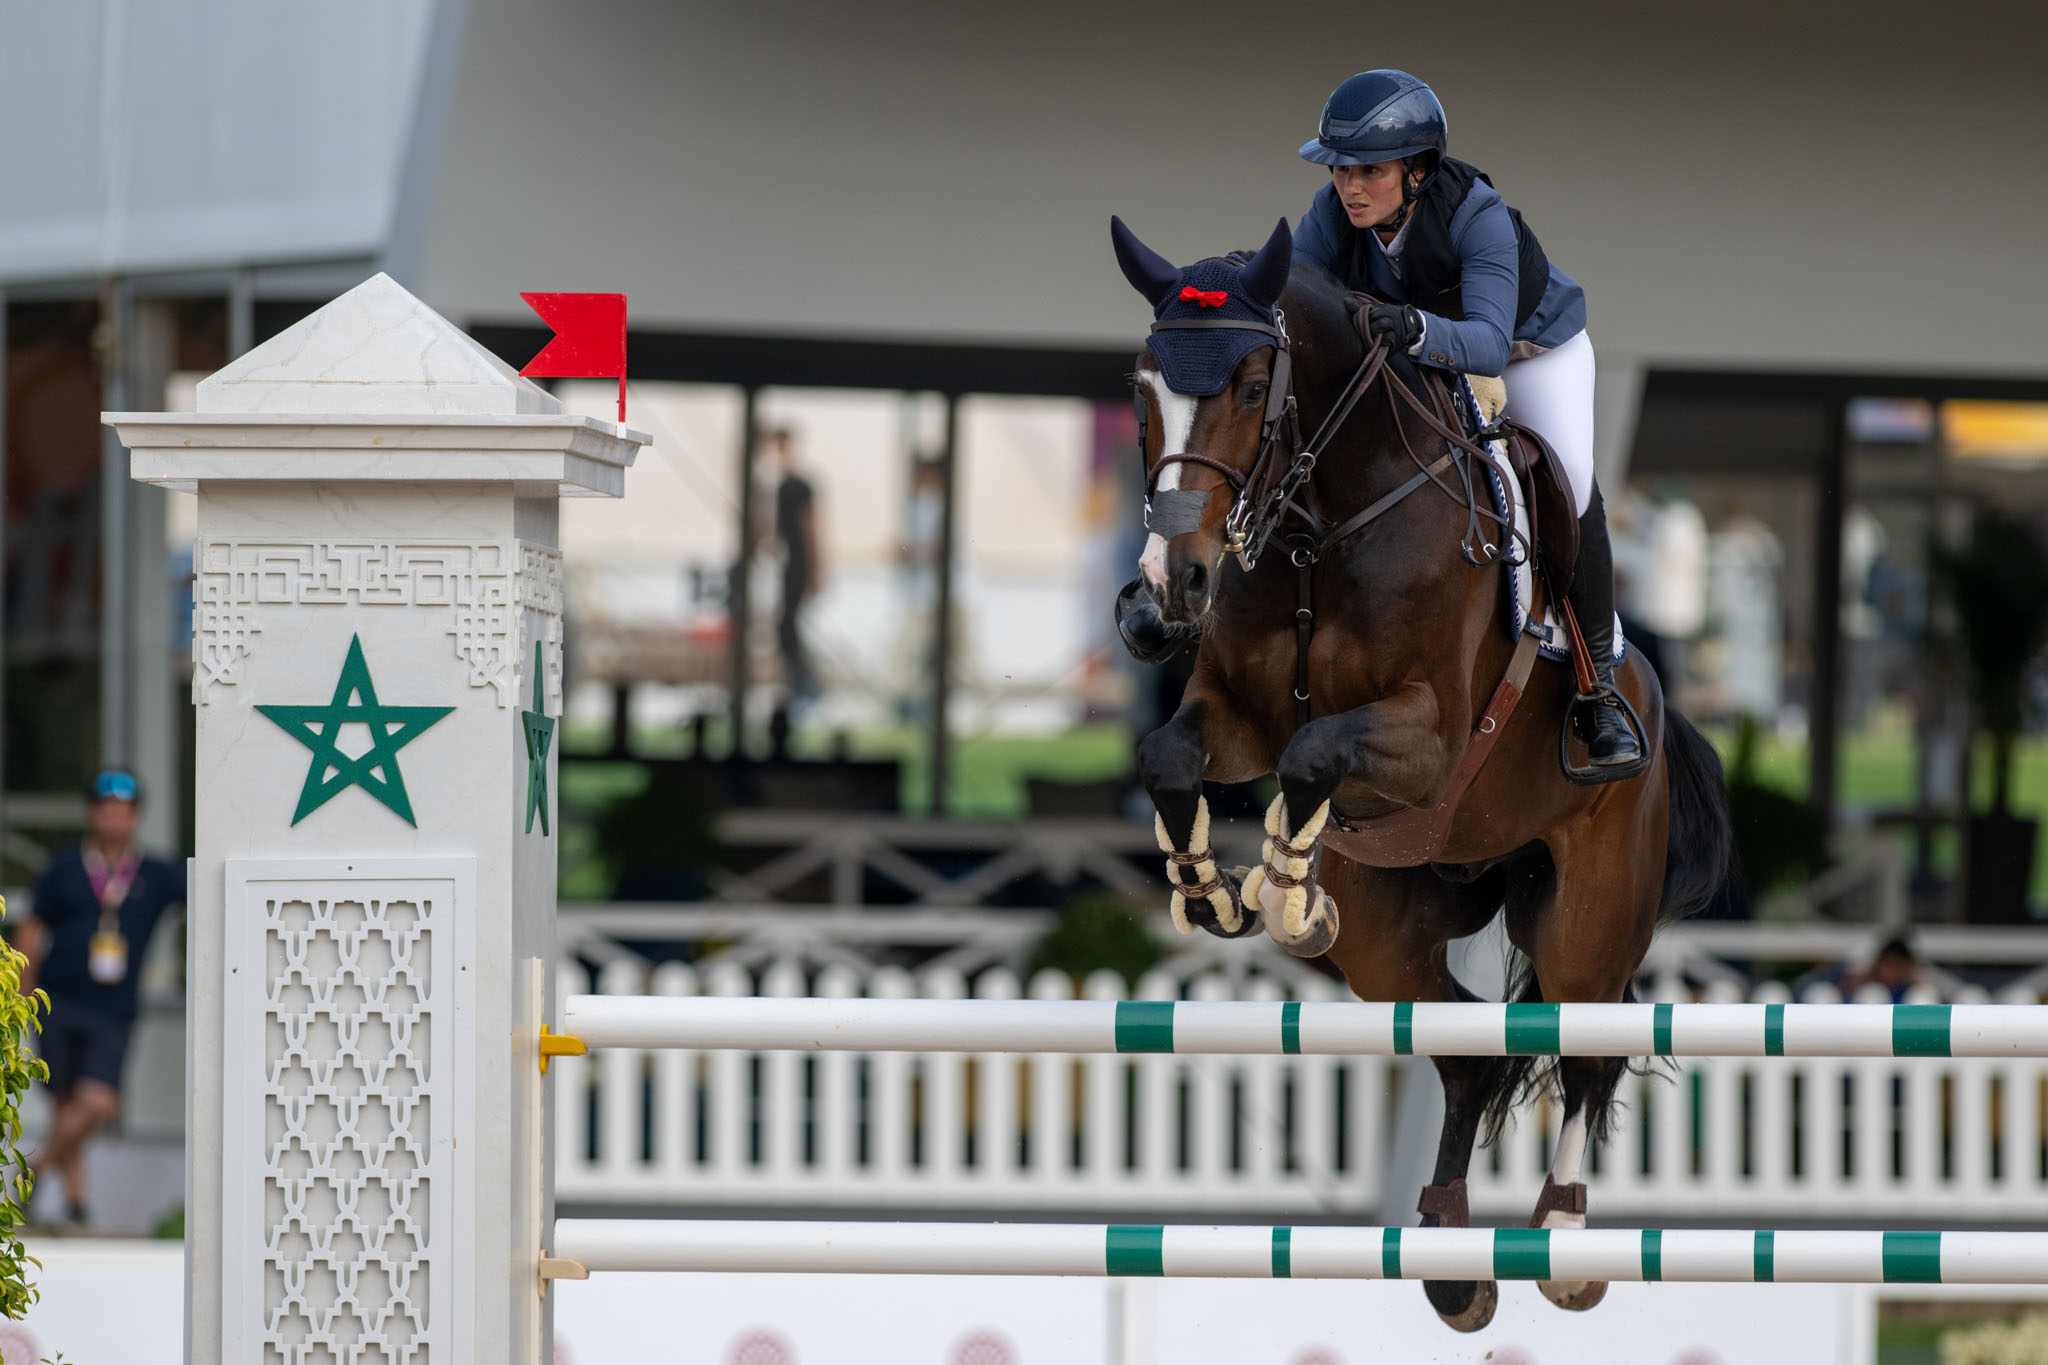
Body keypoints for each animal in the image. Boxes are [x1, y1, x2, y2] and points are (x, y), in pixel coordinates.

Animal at [1122, 215, 1728, 1334]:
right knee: (1465, 1048)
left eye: (1252, 383)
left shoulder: (1429, 735)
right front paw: (1212, 890)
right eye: (1142, 386)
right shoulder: (1235, 719)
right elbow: (1175, 754)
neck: (1322, 523)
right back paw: (1450, 1255)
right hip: (1390, 935)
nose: (1165, 591)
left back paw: (1563, 1238)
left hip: (1586, 913)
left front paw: (1283, 886)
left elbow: (1316, 754)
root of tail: (1658, 708)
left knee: (1587, 1046)